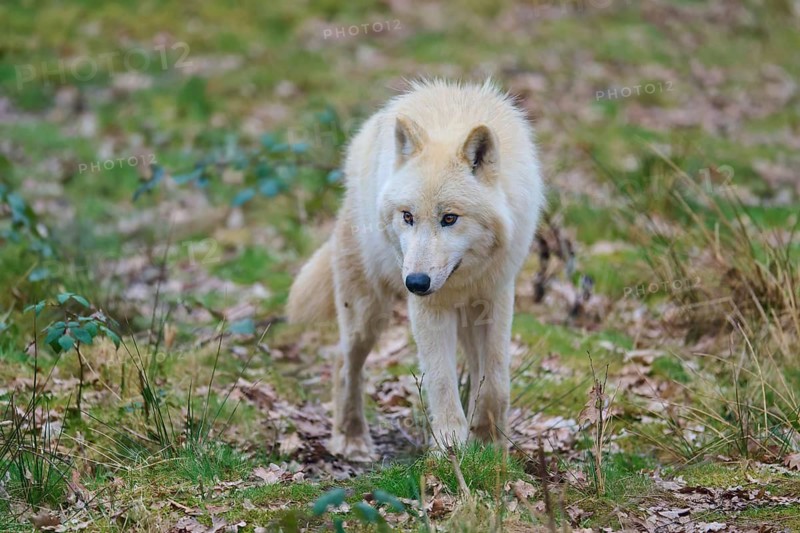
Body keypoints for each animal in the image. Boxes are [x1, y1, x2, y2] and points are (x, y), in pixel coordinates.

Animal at [287, 80, 544, 461]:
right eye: (408, 216)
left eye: (449, 218)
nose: (416, 282)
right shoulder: (429, 309)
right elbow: (441, 382)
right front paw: (450, 450)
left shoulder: (496, 296)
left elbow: (495, 379)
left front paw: (489, 445)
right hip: (367, 313)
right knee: (344, 363)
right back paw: (351, 438)